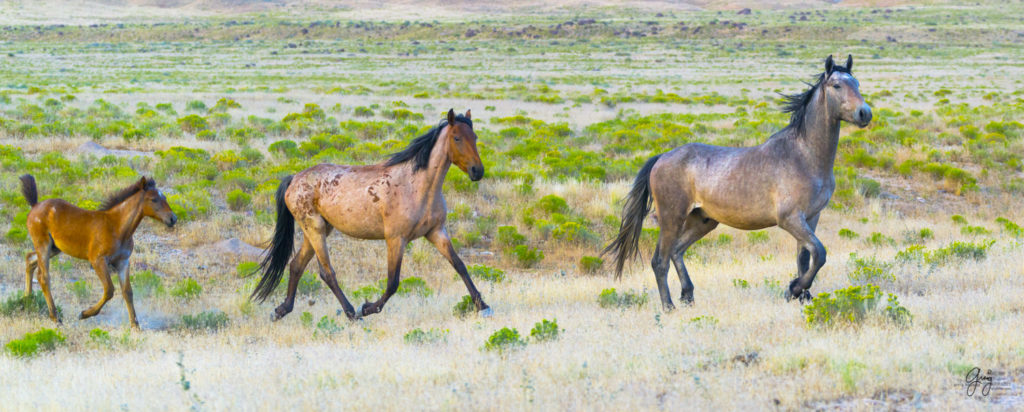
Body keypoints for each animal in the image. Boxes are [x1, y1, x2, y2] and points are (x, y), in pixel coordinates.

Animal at [19, 174, 178, 327]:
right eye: (153, 199)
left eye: (164, 197)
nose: (173, 218)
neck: (117, 227)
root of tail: (35, 205)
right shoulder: (97, 260)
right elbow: (109, 290)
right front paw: (84, 314)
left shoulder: (123, 262)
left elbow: (127, 291)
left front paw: (135, 326)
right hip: (43, 245)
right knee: (44, 277)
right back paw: (55, 318)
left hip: (54, 248)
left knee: (30, 260)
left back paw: (27, 300)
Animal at [247, 107, 487, 319]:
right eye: (457, 138)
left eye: (474, 137)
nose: (477, 171)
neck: (417, 187)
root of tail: (294, 178)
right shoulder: (396, 239)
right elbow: (392, 283)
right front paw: (368, 308)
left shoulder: (437, 232)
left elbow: (460, 265)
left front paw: (482, 305)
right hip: (314, 228)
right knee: (327, 272)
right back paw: (352, 313)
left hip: (317, 230)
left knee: (296, 265)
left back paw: (282, 310)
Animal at [602, 54, 876, 309]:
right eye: (837, 85)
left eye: (857, 83)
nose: (865, 113)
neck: (804, 155)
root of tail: (661, 158)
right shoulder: (790, 219)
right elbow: (819, 253)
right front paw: (793, 289)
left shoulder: (811, 217)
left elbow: (805, 258)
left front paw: (801, 296)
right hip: (672, 217)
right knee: (660, 260)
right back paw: (668, 307)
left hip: (703, 220)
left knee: (677, 251)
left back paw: (688, 295)